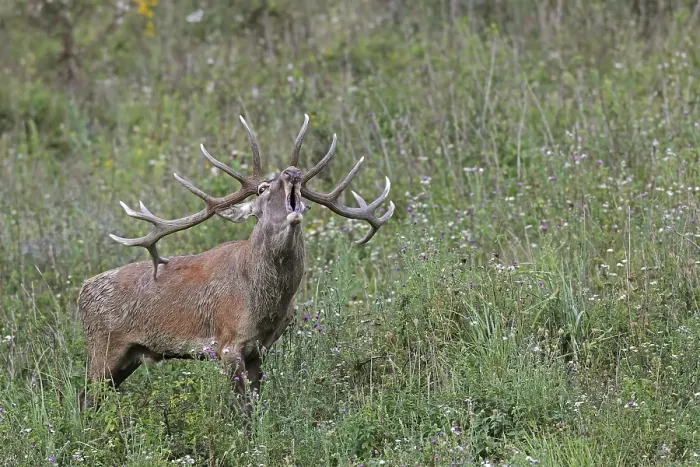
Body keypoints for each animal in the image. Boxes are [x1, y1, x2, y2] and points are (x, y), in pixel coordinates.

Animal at [77, 114, 394, 413]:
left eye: (302, 189)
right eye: (263, 189)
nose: (293, 172)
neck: (262, 301)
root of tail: (82, 293)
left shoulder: (260, 348)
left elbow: (256, 404)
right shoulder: (228, 344)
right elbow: (243, 409)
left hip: (128, 356)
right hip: (104, 346)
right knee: (84, 397)